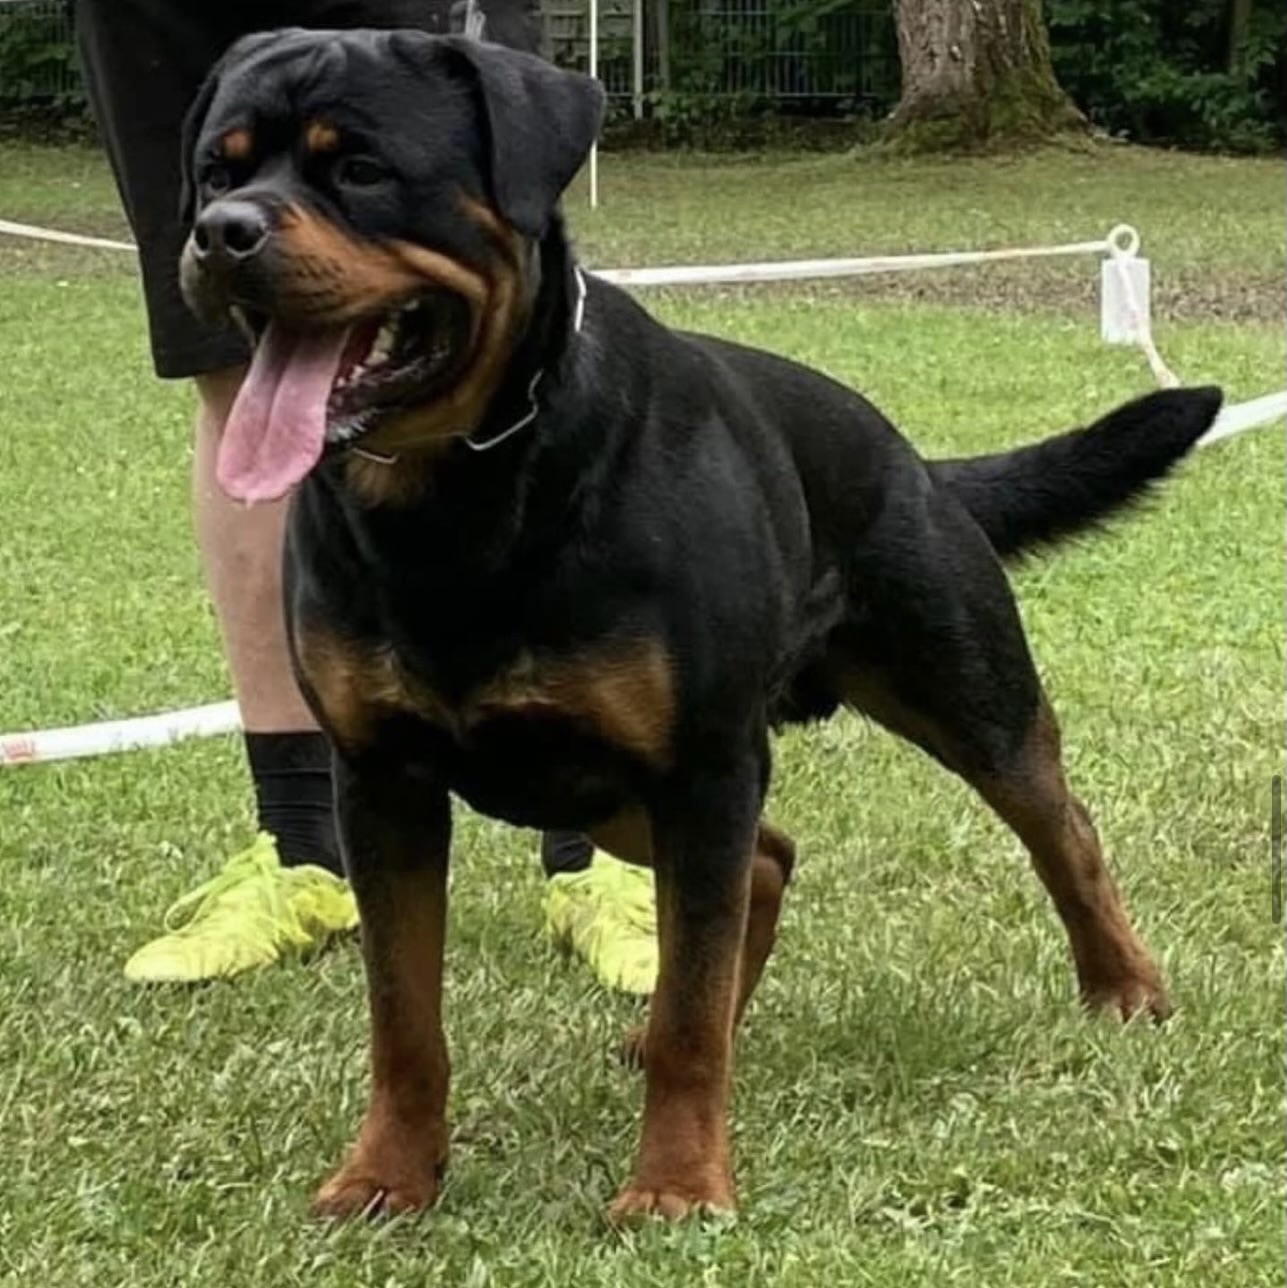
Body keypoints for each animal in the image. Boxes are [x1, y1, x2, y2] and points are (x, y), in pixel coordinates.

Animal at [178, 29, 1221, 1223]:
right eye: (214, 170)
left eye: (359, 169)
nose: (221, 232)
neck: (463, 496)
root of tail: (913, 457)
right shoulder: (381, 781)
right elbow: (404, 1018)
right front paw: (388, 1174)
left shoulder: (704, 764)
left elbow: (686, 1011)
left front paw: (676, 1186)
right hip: (617, 793)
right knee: (765, 863)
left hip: (957, 695)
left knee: (1061, 831)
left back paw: (1124, 986)